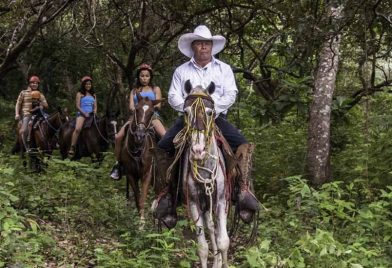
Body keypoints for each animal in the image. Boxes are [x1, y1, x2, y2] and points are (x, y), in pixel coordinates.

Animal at [120, 93, 162, 223]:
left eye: (152, 112)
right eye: (137, 109)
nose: (139, 135)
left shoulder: (147, 174)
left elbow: (142, 198)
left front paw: (142, 222)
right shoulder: (131, 175)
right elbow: (138, 198)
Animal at [175, 80, 230, 268]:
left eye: (210, 112)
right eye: (186, 112)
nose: (198, 151)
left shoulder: (220, 201)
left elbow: (223, 241)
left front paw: (223, 262)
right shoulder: (194, 203)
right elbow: (202, 248)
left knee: (214, 228)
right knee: (210, 227)